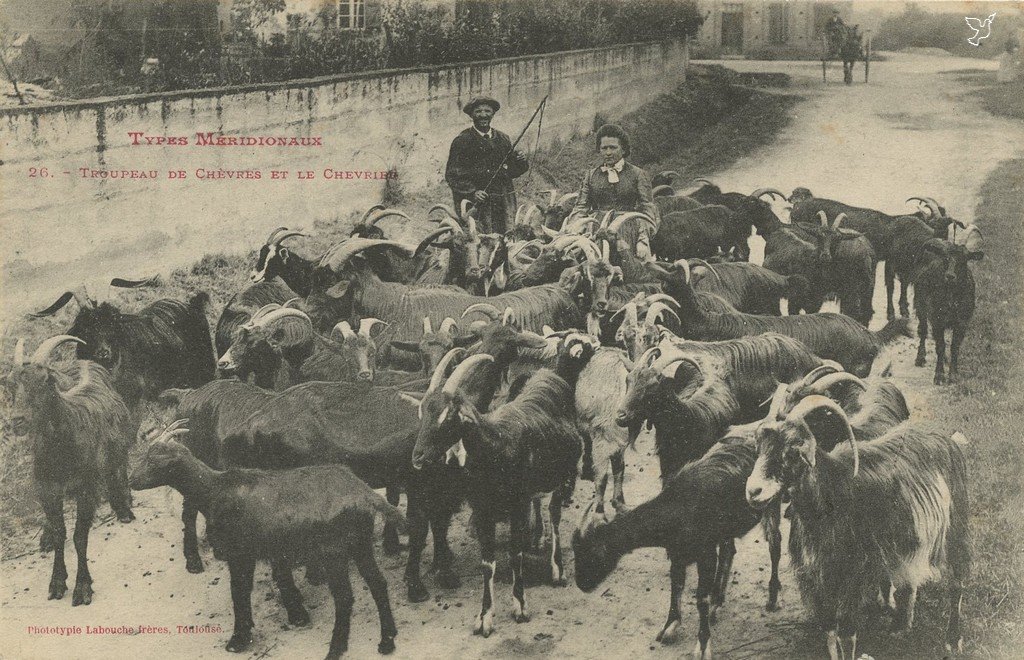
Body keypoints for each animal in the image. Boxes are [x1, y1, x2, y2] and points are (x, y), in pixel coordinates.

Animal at [2, 337, 136, 605]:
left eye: (44, 381)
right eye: (11, 384)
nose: (17, 420)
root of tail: (85, 362)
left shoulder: (87, 488)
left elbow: (79, 536)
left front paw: (82, 587)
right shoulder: (47, 490)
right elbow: (60, 533)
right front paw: (56, 582)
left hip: (119, 447)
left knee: (118, 466)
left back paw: (124, 507)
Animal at [134, 421, 405, 658]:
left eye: (154, 461)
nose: (132, 480)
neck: (214, 490)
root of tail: (365, 494)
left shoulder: (240, 553)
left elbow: (239, 591)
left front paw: (238, 639)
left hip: (334, 551)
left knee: (345, 597)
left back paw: (336, 648)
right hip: (360, 543)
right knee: (378, 583)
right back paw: (387, 640)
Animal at [573, 435, 778, 654]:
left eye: (594, 553)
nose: (582, 584)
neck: (681, 507)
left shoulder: (705, 554)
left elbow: (701, 598)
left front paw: (702, 645)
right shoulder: (676, 552)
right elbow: (676, 585)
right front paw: (670, 626)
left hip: (771, 507)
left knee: (775, 545)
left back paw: (772, 598)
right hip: (726, 531)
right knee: (728, 552)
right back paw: (718, 602)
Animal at [745, 392, 966, 654]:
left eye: (792, 450)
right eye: (759, 448)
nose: (753, 491)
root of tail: (945, 438)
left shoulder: (851, 577)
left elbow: (847, 635)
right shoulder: (819, 582)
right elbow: (831, 635)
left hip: (956, 528)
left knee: (958, 580)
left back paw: (953, 639)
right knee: (909, 578)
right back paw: (901, 626)